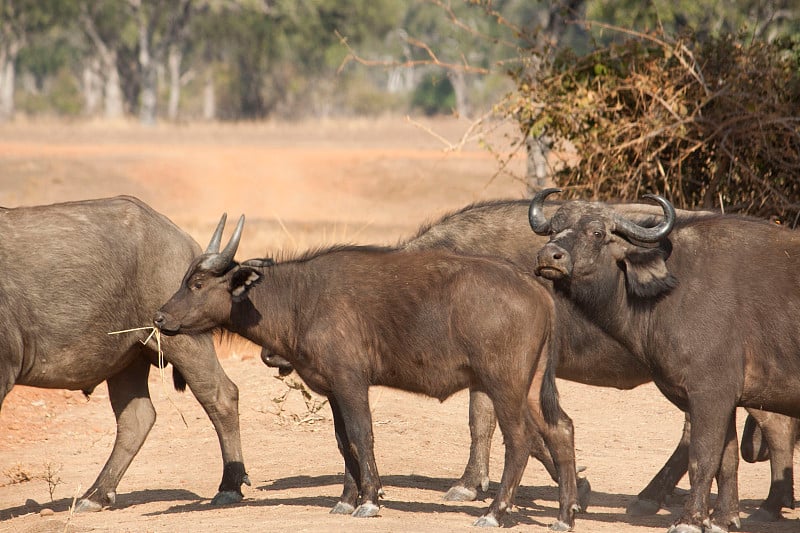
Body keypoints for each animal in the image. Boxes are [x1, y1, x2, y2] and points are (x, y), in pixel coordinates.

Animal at [0, 195, 247, 512]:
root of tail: (180, 237)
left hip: (183, 339)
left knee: (221, 395)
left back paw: (230, 486)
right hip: (128, 360)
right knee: (137, 418)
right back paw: (96, 494)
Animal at [155, 213, 580, 528]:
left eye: (196, 283)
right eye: (185, 280)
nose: (160, 318)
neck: (300, 299)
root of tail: (533, 287)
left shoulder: (352, 384)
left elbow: (363, 436)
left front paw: (370, 500)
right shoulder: (332, 390)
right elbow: (344, 443)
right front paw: (346, 499)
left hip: (504, 385)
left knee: (521, 439)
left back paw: (495, 512)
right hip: (531, 386)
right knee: (560, 430)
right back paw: (564, 517)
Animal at [532, 188, 800, 532]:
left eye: (597, 233)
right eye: (553, 229)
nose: (549, 256)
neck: (671, 289)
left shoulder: (710, 394)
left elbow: (703, 458)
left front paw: (690, 520)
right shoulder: (724, 400)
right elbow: (727, 462)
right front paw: (723, 519)